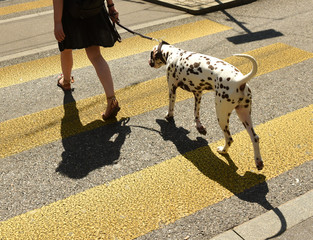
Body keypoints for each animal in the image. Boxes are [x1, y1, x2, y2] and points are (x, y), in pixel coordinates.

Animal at [149, 40, 264, 171]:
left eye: (151, 55)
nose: (149, 63)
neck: (173, 53)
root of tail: (240, 81)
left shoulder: (172, 89)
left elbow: (171, 107)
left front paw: (169, 116)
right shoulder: (198, 94)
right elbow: (196, 113)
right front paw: (199, 127)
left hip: (222, 115)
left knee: (229, 138)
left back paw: (223, 151)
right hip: (244, 115)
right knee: (255, 137)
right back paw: (258, 161)